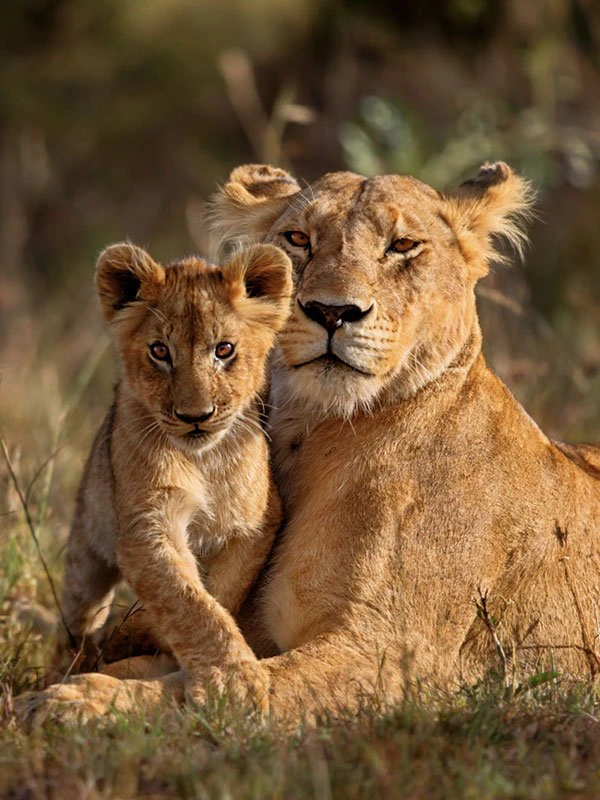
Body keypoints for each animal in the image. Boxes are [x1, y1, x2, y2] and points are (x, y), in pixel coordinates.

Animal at [52, 241, 292, 695]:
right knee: (77, 616)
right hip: (85, 547)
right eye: (160, 351)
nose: (195, 416)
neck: (204, 460)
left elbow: (219, 594)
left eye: (224, 350)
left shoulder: (254, 524)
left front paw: (141, 634)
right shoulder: (147, 525)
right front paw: (234, 679)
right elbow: (188, 602)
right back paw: (66, 666)